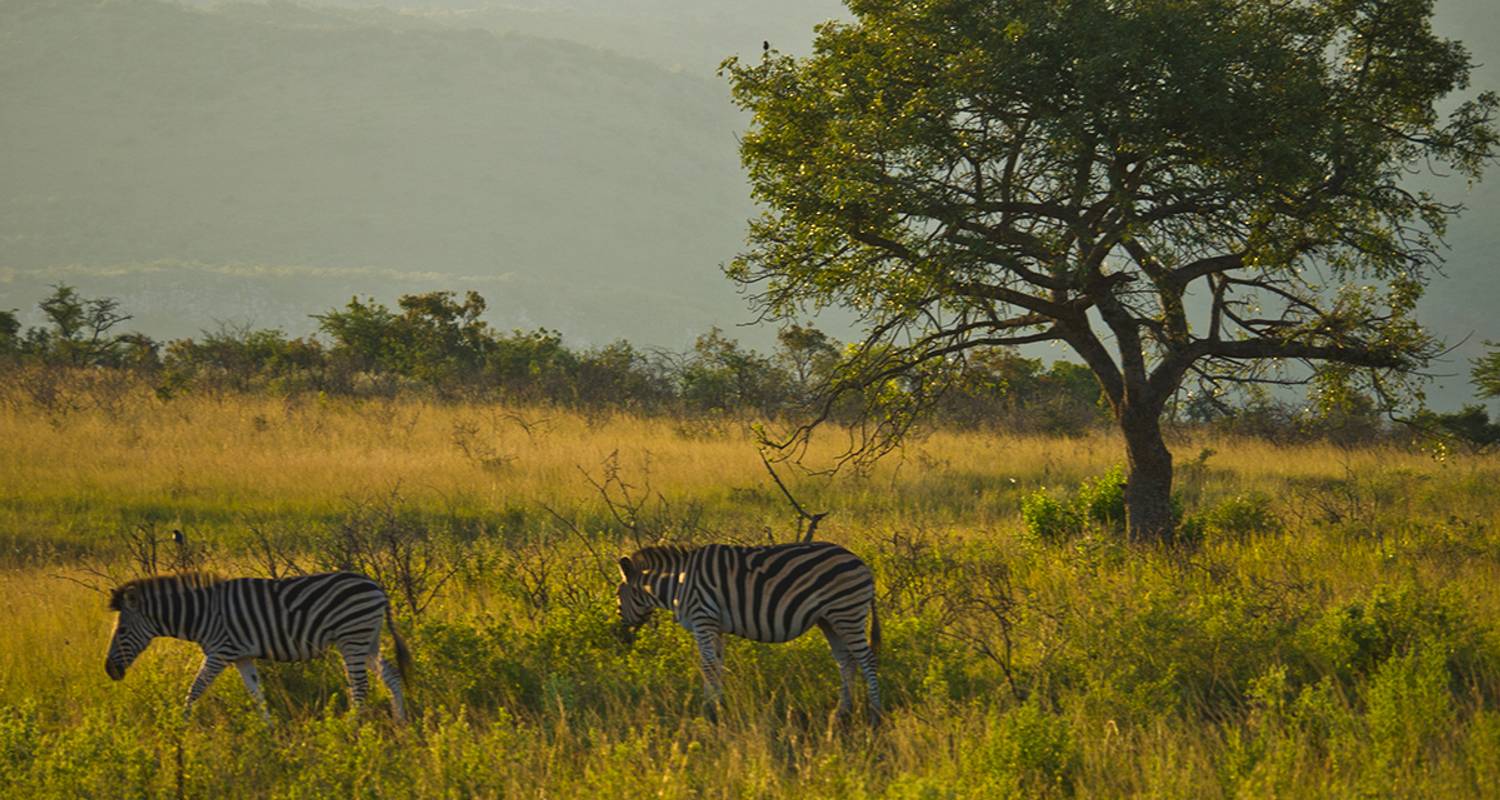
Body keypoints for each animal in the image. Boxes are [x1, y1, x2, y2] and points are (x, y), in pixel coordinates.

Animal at [106, 570, 414, 720]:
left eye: (122, 631)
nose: (110, 671)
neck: (202, 613)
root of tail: (376, 586)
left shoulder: (220, 651)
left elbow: (195, 689)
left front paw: (179, 725)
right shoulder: (242, 656)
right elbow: (257, 694)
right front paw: (270, 731)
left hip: (352, 638)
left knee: (360, 685)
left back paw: (351, 728)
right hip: (368, 639)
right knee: (390, 675)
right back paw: (401, 722)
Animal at [618, 537, 882, 723]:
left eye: (618, 597)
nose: (622, 638)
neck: (678, 583)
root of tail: (862, 563)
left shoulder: (703, 618)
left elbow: (707, 665)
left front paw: (709, 710)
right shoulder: (715, 626)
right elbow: (717, 666)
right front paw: (718, 705)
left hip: (847, 612)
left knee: (867, 659)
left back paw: (875, 713)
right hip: (829, 619)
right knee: (846, 662)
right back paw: (841, 712)